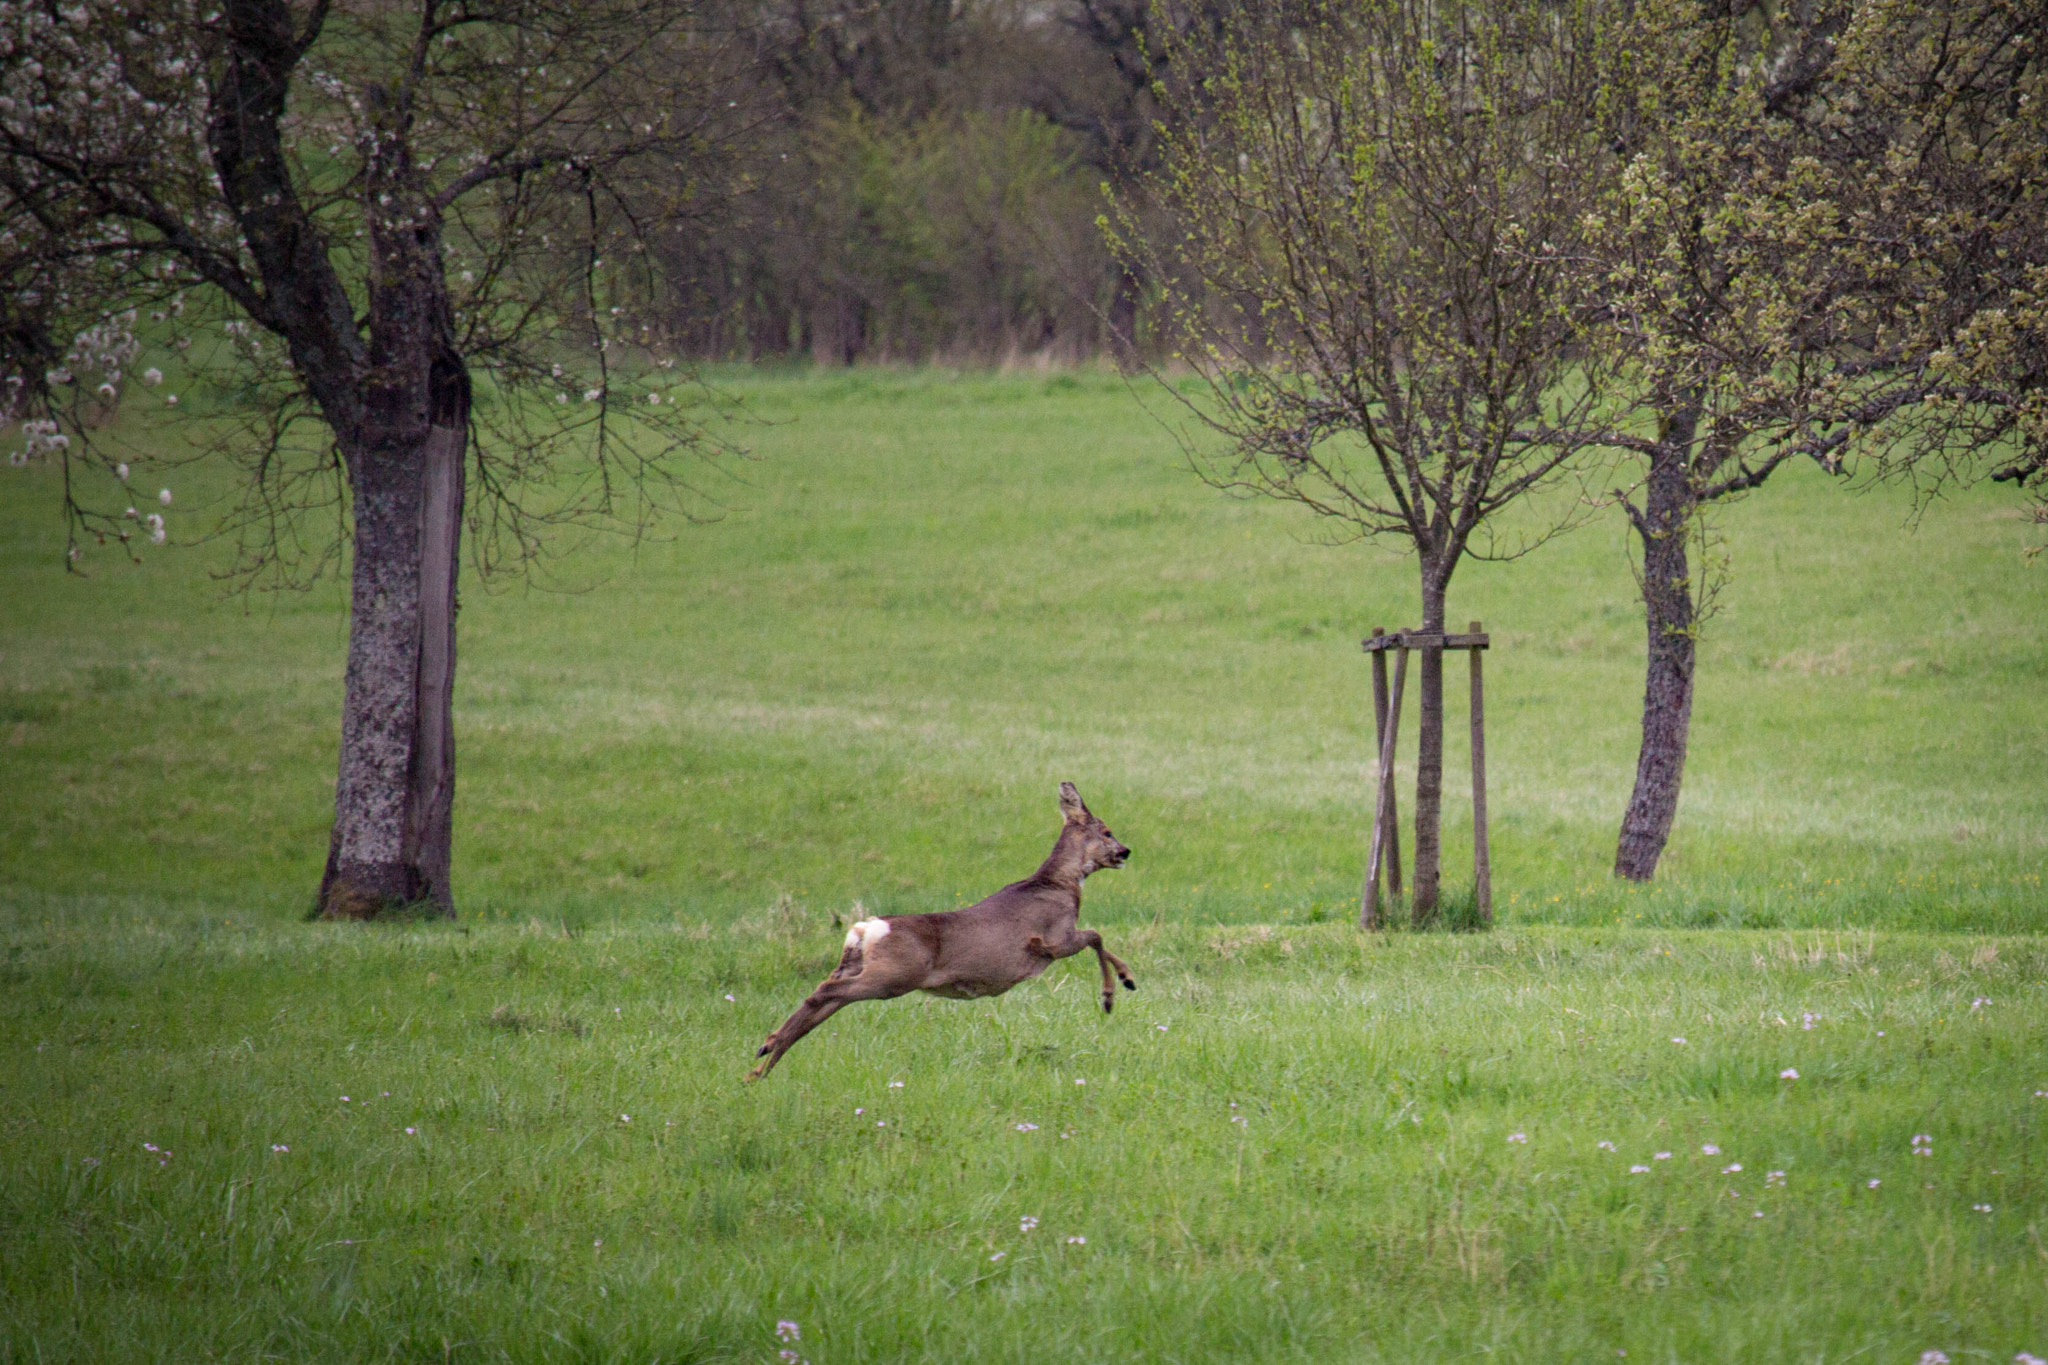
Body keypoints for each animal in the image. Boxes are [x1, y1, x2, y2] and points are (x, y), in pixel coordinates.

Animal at [745, 782, 1136, 1080]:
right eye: (1107, 831)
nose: (1126, 851)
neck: (1059, 884)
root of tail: (866, 927)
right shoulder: (1053, 939)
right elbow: (1096, 935)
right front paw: (1113, 993)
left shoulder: (1057, 942)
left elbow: (1098, 938)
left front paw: (1123, 984)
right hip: (895, 975)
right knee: (825, 993)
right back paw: (767, 1053)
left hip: (860, 965)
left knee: (823, 997)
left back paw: (761, 1061)